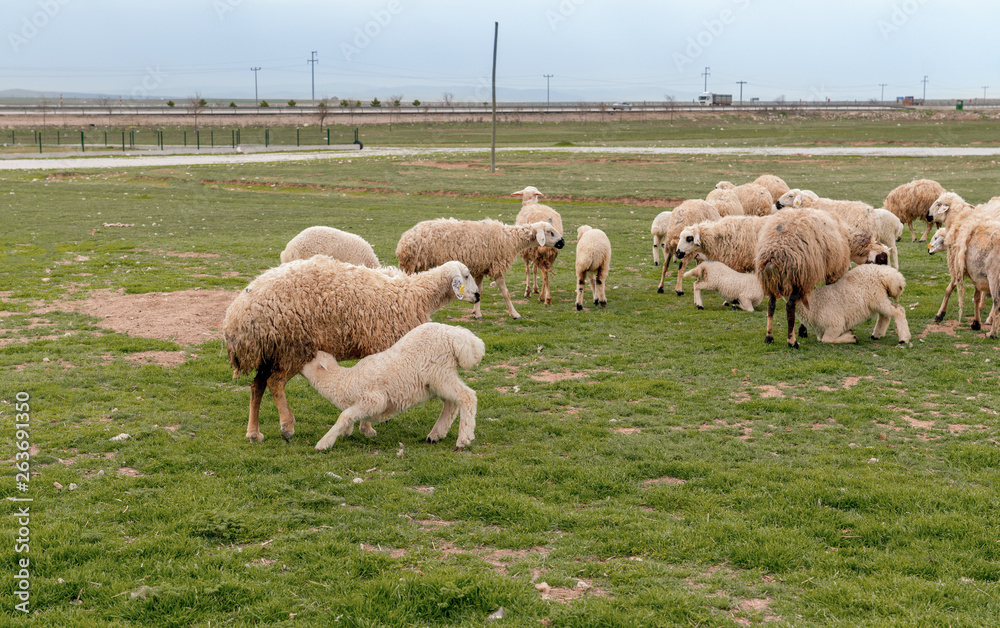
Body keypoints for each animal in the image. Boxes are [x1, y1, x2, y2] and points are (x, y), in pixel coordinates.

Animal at [300, 323, 485, 450]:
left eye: (308, 358)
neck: (344, 381)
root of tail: (460, 337)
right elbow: (354, 417)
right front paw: (361, 431)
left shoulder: (374, 399)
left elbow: (344, 416)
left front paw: (324, 442)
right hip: (438, 380)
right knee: (451, 403)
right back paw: (435, 435)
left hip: (440, 374)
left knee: (467, 397)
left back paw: (463, 439)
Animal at [396, 218, 564, 320]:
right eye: (550, 232)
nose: (562, 242)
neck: (510, 240)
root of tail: (404, 240)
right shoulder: (497, 267)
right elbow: (506, 293)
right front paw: (515, 313)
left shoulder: (481, 268)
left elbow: (480, 291)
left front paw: (476, 312)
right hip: (412, 266)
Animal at [755, 208, 853, 348]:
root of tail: (774, 254)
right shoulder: (828, 274)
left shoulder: (808, 278)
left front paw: (803, 329)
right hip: (796, 277)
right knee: (790, 306)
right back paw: (792, 341)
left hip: (772, 281)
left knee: (771, 305)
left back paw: (769, 337)